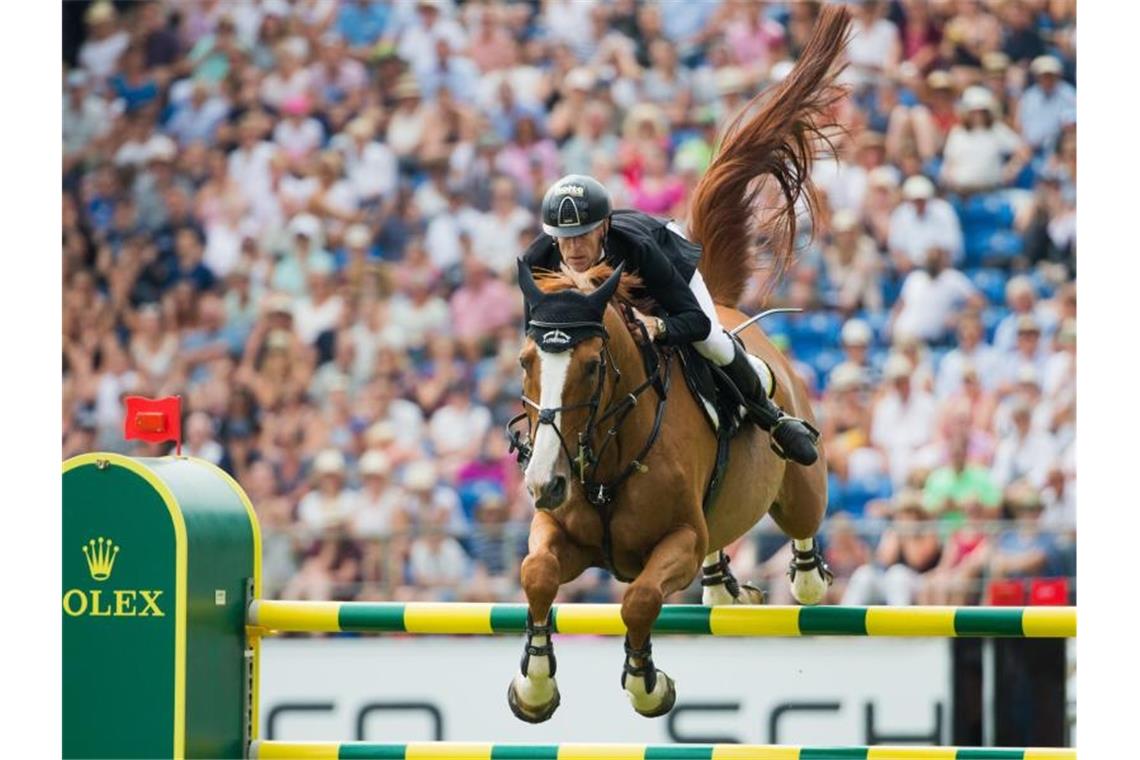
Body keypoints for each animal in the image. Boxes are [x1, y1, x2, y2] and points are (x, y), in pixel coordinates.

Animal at [503, 5, 852, 724]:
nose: (544, 481)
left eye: (591, 366)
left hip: (797, 482)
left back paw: (804, 575)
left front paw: (647, 685)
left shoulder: (677, 544)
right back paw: (724, 587)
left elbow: (638, 600)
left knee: (803, 522)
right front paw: (535, 685)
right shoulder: (556, 530)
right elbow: (537, 576)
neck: (606, 455)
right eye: (527, 360)